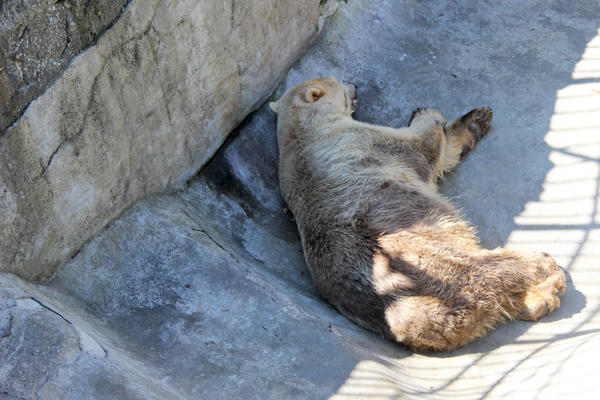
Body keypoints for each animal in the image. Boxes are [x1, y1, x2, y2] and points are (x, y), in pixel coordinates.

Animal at [270, 76, 564, 352]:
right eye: (338, 82)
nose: (355, 85)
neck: (300, 133)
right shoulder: (362, 140)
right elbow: (422, 146)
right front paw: (434, 113)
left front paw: (478, 118)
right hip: (430, 256)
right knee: (484, 269)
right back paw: (543, 268)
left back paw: (541, 297)